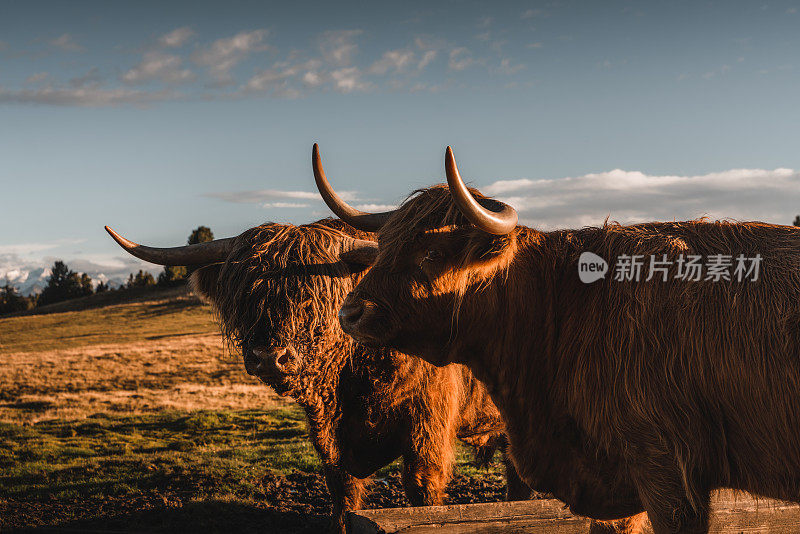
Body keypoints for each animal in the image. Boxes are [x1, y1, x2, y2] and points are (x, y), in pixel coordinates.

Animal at [106, 220, 532, 532]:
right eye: (246, 297)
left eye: (313, 295)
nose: (269, 357)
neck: (351, 382)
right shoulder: (329, 437)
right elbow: (342, 493)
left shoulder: (426, 427)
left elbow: (421, 491)